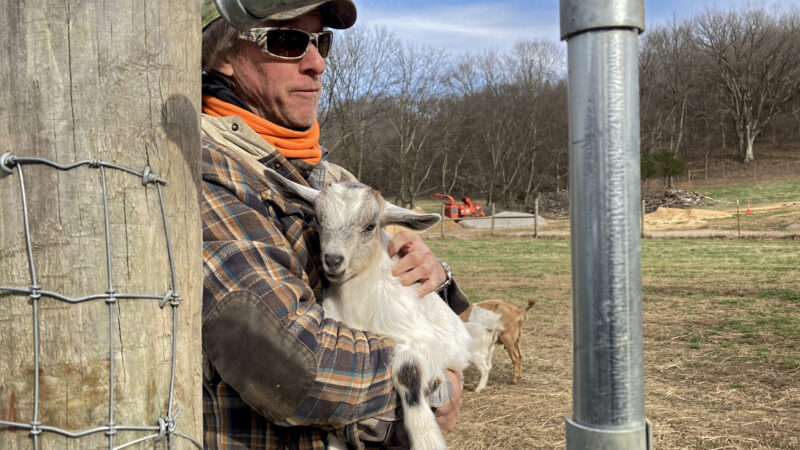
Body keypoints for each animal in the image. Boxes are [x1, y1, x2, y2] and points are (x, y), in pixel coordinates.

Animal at [262, 170, 476, 450]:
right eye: (318, 219)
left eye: (371, 226)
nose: (333, 260)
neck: (359, 304)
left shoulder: (428, 342)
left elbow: (407, 373)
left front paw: (427, 439)